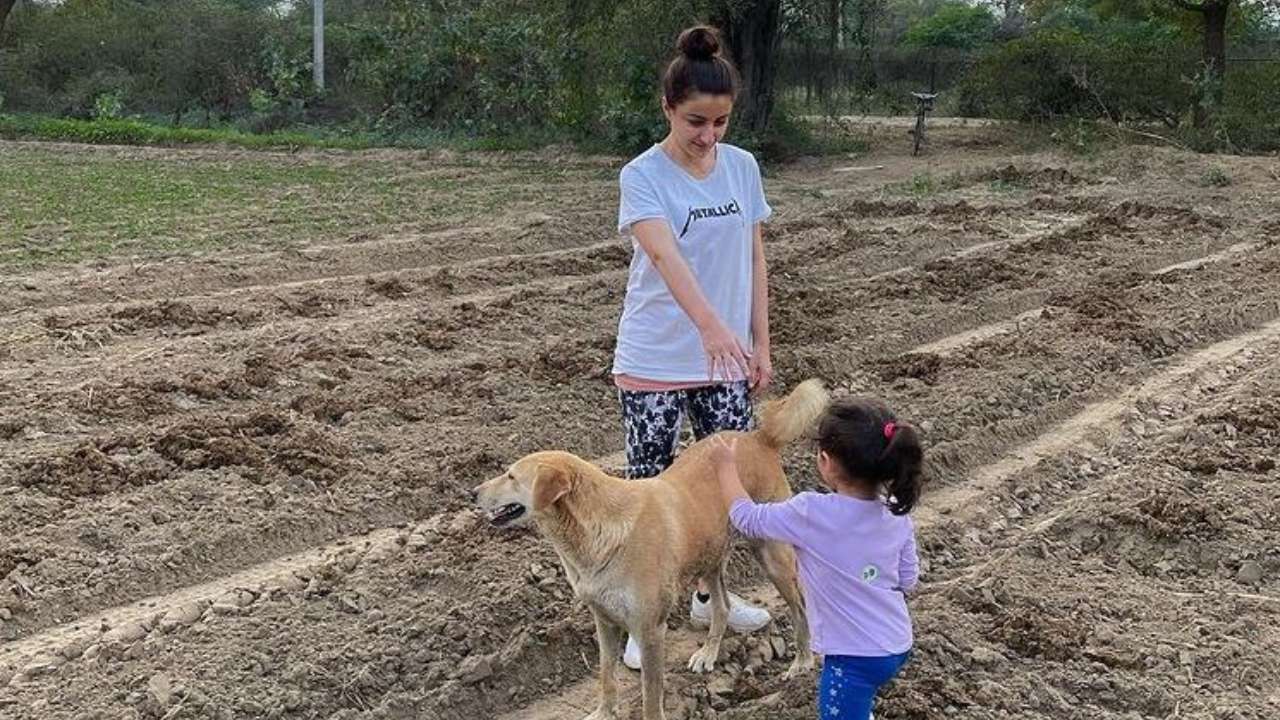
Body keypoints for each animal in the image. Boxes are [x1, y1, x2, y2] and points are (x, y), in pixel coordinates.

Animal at [476, 379, 824, 712]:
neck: (595, 532)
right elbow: (606, 676)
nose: (473, 492)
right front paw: (604, 712)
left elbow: (651, 697)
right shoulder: (604, 620)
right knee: (722, 605)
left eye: (511, 476)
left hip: (771, 552)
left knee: (800, 606)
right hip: (710, 551)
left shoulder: (652, 630)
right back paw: (709, 654)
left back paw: (802, 661)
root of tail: (759, 438)